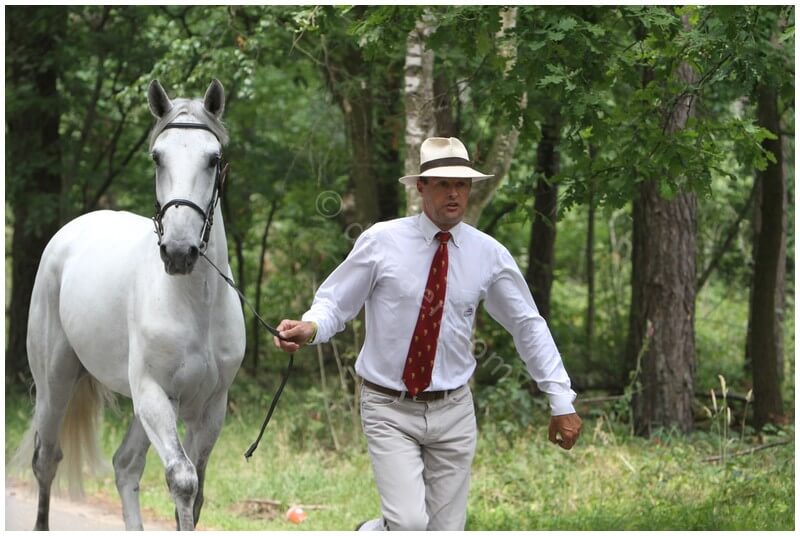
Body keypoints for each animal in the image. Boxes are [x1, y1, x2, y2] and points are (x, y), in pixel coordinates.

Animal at [15, 79, 246, 530]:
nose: (179, 252)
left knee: (125, 465)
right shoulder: (153, 392)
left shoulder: (210, 406)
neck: (196, 305)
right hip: (56, 382)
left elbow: (196, 492)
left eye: (213, 160)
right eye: (158, 157)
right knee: (46, 460)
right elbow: (183, 480)